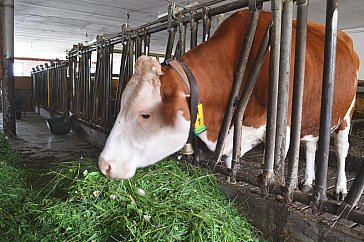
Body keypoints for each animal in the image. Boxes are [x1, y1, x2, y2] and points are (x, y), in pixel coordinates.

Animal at [98, 9, 360, 199]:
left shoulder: (282, 129)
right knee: (311, 145)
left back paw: (339, 190)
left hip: (345, 113)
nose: (104, 164)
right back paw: (307, 182)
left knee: (340, 147)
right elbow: (229, 157)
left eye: (145, 114)